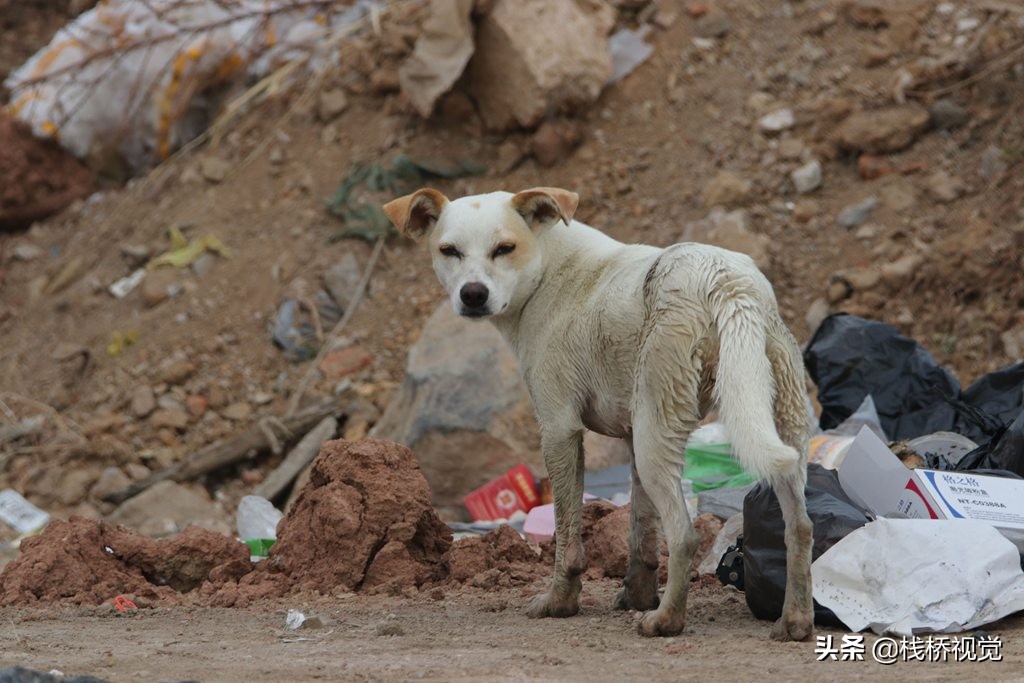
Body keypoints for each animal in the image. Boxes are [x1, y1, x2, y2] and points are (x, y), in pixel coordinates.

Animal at [385, 184, 815, 638]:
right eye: (449, 251)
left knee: (683, 535)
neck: (547, 267)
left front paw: (560, 601)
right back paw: (795, 620)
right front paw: (636, 595)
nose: (473, 294)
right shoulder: (630, 434)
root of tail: (726, 281)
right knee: (800, 527)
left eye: (505, 248)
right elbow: (641, 532)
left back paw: (666, 620)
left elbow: (567, 534)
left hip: (657, 433)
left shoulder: (559, 429)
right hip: (774, 421)